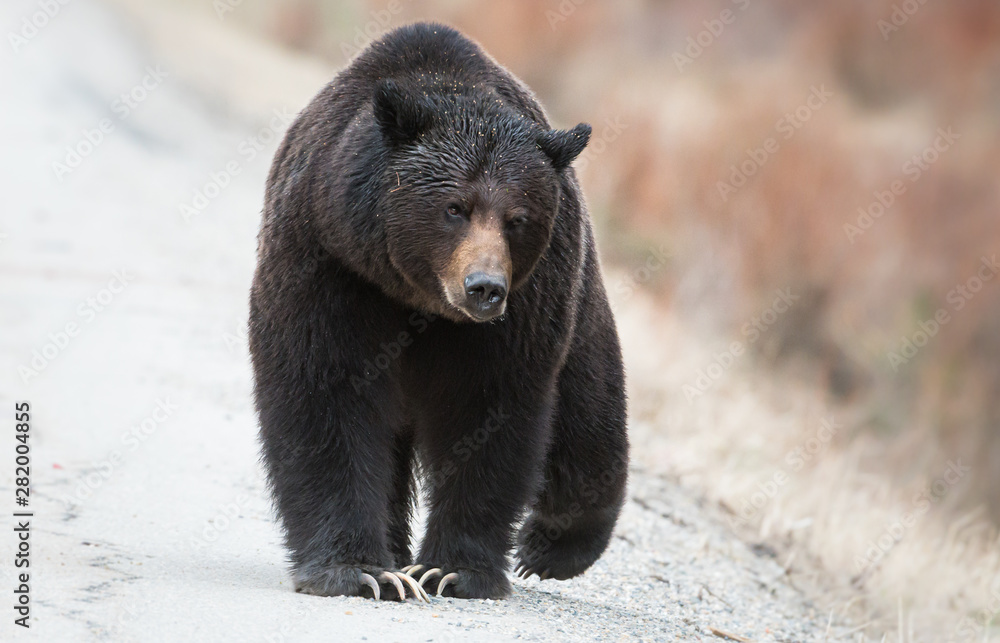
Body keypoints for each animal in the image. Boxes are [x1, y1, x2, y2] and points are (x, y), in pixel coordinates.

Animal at [249, 22, 628, 601]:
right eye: (455, 207)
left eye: (517, 218)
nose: (485, 287)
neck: (415, 297)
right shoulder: (328, 262)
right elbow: (326, 393)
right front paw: (360, 570)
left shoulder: (522, 310)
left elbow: (487, 409)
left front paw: (453, 570)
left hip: (580, 299)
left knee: (589, 411)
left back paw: (552, 545)